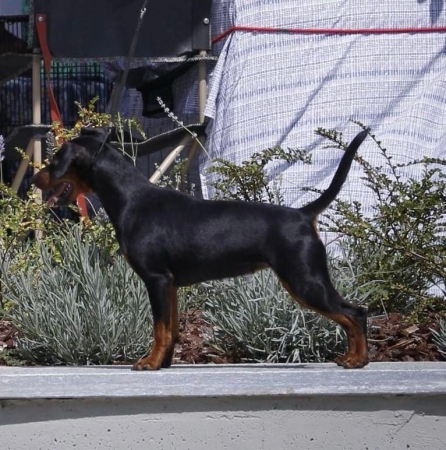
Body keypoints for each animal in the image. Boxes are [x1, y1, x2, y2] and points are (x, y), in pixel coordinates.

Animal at [31, 127, 370, 370]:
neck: (131, 200)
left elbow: (159, 328)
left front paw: (149, 363)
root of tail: (302, 214)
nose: (34, 178)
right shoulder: (169, 284)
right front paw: (164, 363)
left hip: (304, 280)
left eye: (55, 160)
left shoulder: (156, 279)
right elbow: (171, 329)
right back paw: (355, 358)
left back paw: (357, 360)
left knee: (355, 312)